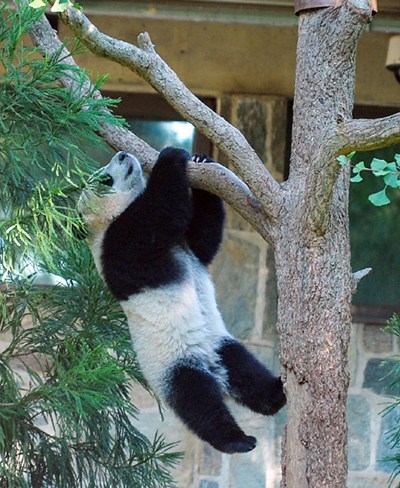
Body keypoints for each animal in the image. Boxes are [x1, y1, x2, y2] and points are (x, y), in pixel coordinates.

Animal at [77, 146, 284, 454]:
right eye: (106, 180)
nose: (123, 154)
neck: (102, 223)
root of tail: (213, 370)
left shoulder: (187, 247)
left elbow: (204, 238)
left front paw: (200, 160)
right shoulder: (117, 245)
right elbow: (159, 217)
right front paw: (170, 156)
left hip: (218, 343)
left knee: (246, 370)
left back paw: (275, 397)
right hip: (173, 362)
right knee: (198, 401)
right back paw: (235, 440)